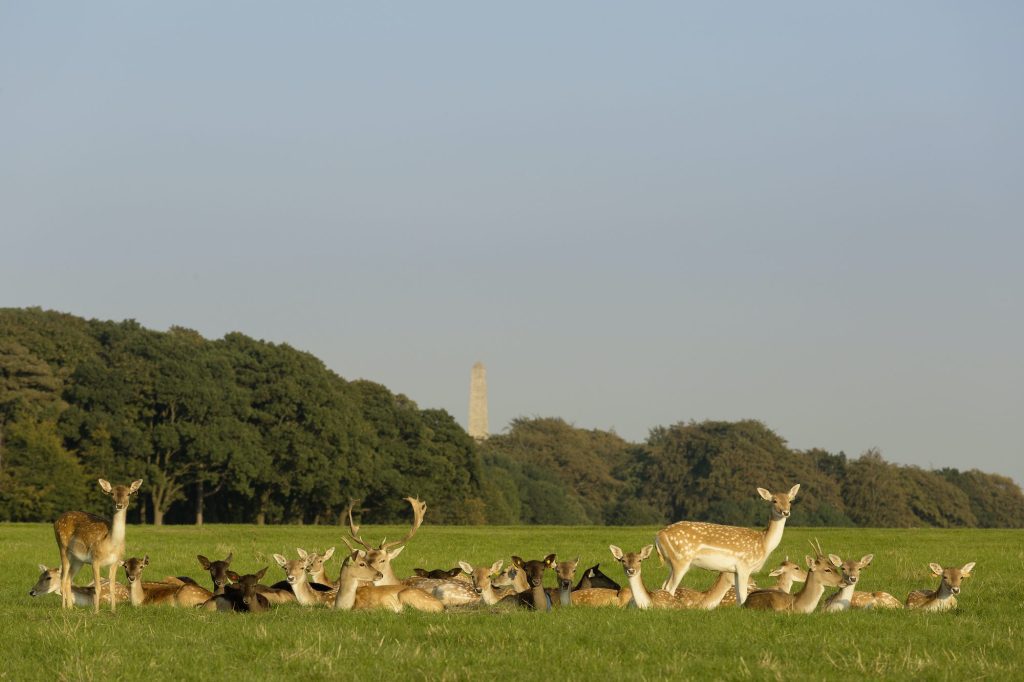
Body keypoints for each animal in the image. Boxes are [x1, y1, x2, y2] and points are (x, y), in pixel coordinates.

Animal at [52, 477, 142, 610]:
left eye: (128, 493)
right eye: (112, 493)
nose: (119, 505)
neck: (111, 544)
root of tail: (56, 520)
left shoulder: (116, 562)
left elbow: (112, 587)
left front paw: (113, 611)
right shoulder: (95, 559)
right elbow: (97, 587)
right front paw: (96, 611)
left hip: (79, 559)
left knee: (68, 579)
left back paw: (70, 608)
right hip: (62, 547)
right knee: (63, 579)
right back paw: (64, 608)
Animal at [655, 481, 798, 602]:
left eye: (790, 501)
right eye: (774, 501)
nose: (786, 512)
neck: (764, 543)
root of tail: (658, 536)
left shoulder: (735, 570)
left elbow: (739, 598)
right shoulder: (744, 565)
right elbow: (743, 595)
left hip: (671, 562)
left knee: (664, 585)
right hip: (681, 560)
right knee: (670, 587)